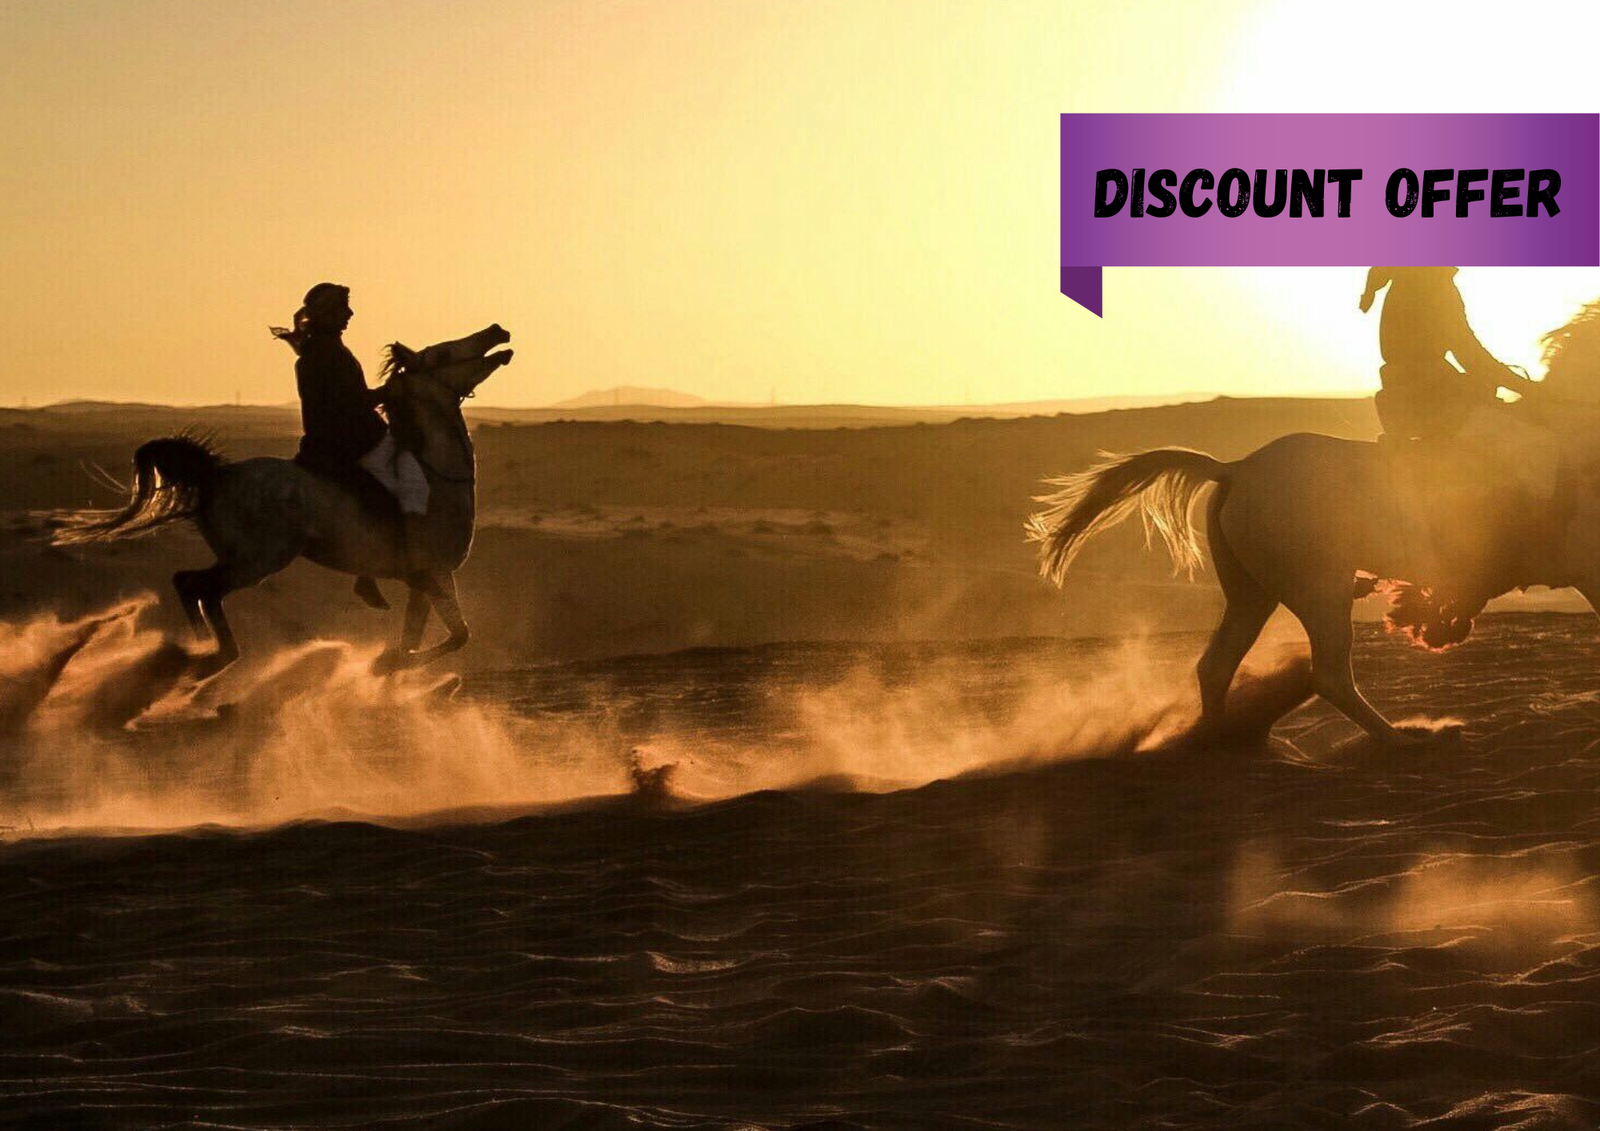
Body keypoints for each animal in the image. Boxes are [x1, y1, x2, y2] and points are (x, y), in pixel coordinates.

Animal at [53, 324, 513, 674]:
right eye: (444, 352)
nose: (498, 332)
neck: (438, 477)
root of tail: (216, 475)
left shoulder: (431, 577)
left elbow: (433, 636)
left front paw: (393, 668)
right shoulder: (432, 572)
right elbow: (453, 636)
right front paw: (386, 663)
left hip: (237, 557)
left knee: (189, 583)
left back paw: (200, 652)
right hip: (258, 560)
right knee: (202, 588)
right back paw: (211, 655)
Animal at [1025, 300, 1600, 745]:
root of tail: (1237, 469)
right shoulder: (1588, 571)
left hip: (1253, 593)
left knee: (1217, 665)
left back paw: (1221, 742)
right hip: (1320, 590)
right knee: (1329, 674)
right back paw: (1401, 737)